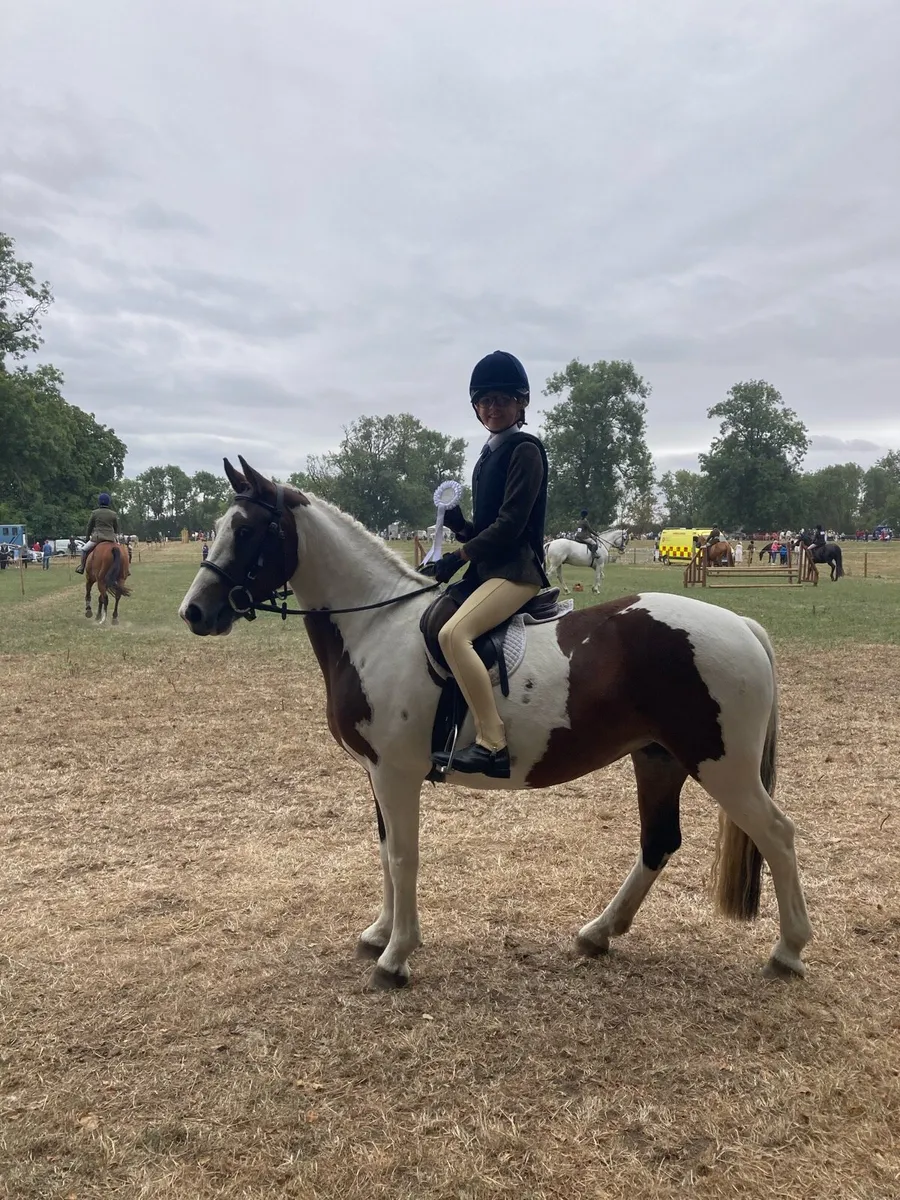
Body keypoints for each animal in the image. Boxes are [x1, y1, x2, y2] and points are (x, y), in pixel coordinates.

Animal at [179, 457, 811, 991]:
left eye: (249, 530)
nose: (195, 612)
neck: (376, 628)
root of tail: (741, 625)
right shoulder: (376, 773)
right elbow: (384, 853)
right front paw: (379, 935)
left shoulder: (395, 774)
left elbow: (403, 856)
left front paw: (397, 957)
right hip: (658, 757)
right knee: (659, 841)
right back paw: (598, 933)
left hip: (722, 766)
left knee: (777, 834)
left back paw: (788, 950)